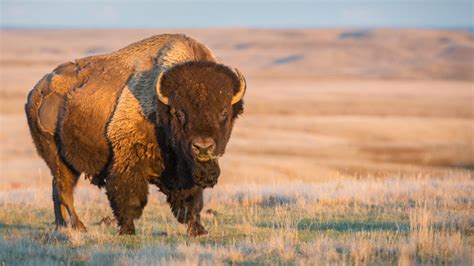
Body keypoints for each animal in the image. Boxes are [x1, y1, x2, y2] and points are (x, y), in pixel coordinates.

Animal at [25, 34, 248, 236]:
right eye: (179, 113)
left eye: (224, 113)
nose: (203, 147)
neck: (160, 107)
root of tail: (37, 91)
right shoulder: (128, 161)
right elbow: (129, 197)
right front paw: (127, 230)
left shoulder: (187, 171)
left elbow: (192, 201)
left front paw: (199, 231)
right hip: (57, 158)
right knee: (64, 190)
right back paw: (79, 227)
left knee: (57, 191)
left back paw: (61, 226)